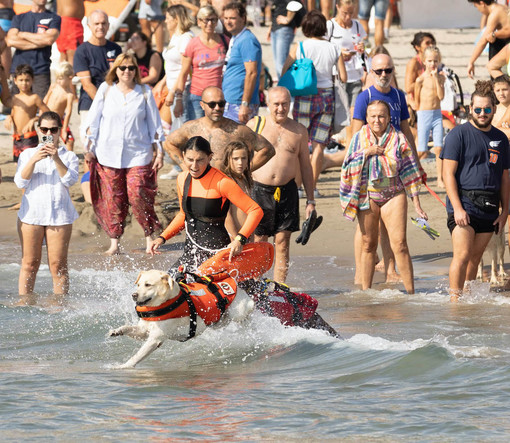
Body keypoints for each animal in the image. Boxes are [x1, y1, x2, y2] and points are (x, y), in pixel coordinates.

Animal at [108, 270, 255, 368]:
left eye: (148, 285)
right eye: (138, 285)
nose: (133, 295)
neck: (166, 302)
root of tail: (238, 286)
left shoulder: (155, 339)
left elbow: (137, 355)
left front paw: (123, 367)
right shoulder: (144, 331)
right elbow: (129, 328)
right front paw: (117, 331)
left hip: (237, 311)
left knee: (244, 315)